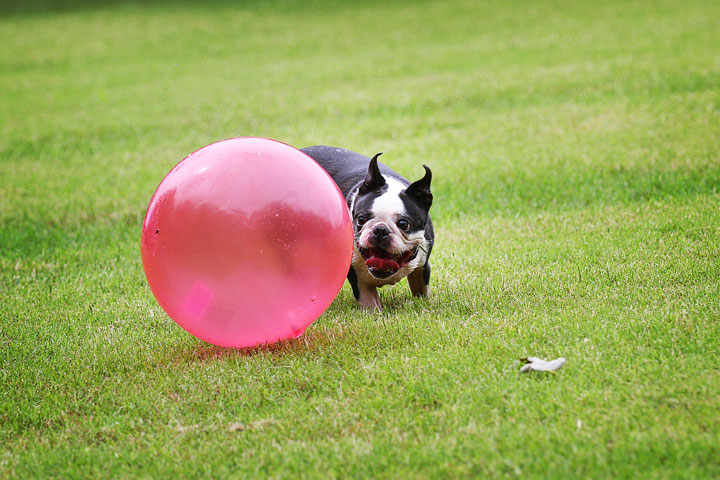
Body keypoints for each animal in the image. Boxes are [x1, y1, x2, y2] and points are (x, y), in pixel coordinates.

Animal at [300, 145, 434, 312]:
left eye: (404, 224)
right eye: (361, 219)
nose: (380, 230)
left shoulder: (422, 266)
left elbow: (421, 288)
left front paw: (424, 304)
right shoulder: (355, 275)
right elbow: (367, 297)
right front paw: (374, 313)